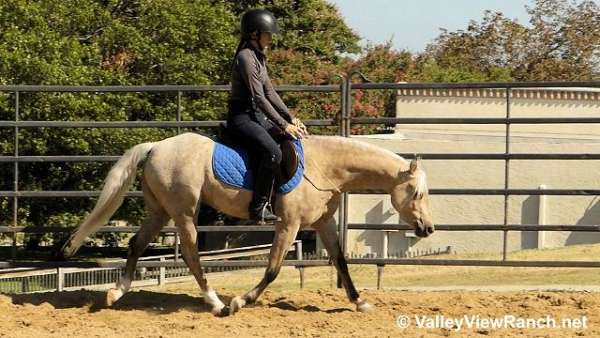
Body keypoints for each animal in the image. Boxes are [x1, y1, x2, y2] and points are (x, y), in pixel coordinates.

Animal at [61, 131, 434, 314]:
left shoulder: (324, 224)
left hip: (160, 211)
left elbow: (341, 262)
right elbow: (273, 269)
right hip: (183, 213)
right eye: (416, 193)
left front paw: (359, 302)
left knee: (137, 243)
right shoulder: (288, 224)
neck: (325, 166)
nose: (427, 229)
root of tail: (156, 147)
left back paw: (116, 293)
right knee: (192, 255)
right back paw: (216, 303)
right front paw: (241, 301)